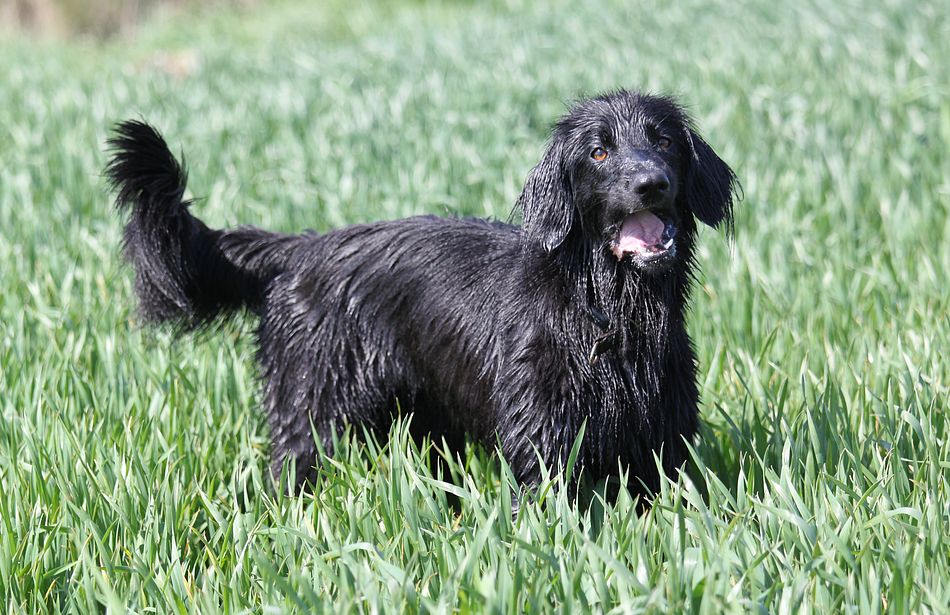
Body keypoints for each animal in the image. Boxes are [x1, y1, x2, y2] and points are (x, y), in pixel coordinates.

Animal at [106, 89, 738, 498]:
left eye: (663, 141)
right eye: (599, 152)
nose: (651, 183)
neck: (608, 314)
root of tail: (304, 247)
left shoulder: (660, 447)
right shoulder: (544, 448)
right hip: (310, 411)